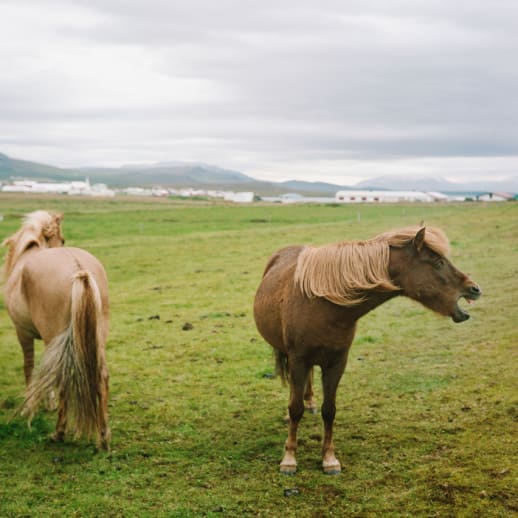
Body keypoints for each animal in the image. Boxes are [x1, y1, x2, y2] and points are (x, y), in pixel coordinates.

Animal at [2, 211, 110, 450]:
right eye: (62, 239)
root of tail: (79, 269)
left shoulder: (23, 333)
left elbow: (30, 367)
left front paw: (29, 406)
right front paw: (47, 401)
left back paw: (58, 434)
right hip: (95, 340)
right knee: (102, 377)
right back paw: (104, 438)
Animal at [256, 228, 484, 476]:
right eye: (438, 261)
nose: (474, 288)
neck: (323, 303)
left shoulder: (337, 363)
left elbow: (329, 410)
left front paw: (329, 459)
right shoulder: (299, 359)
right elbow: (295, 408)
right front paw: (289, 459)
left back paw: (311, 404)